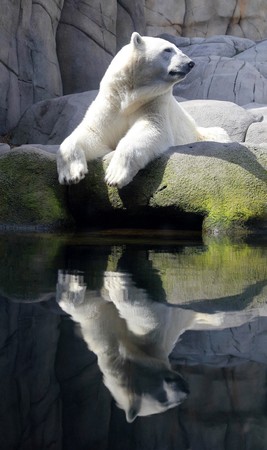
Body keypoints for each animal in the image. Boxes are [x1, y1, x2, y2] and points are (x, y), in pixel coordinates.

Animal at [56, 32, 230, 188]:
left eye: (177, 49)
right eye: (168, 49)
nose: (190, 63)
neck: (130, 96)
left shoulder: (154, 101)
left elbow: (151, 129)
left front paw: (115, 175)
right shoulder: (110, 104)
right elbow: (93, 133)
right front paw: (71, 174)